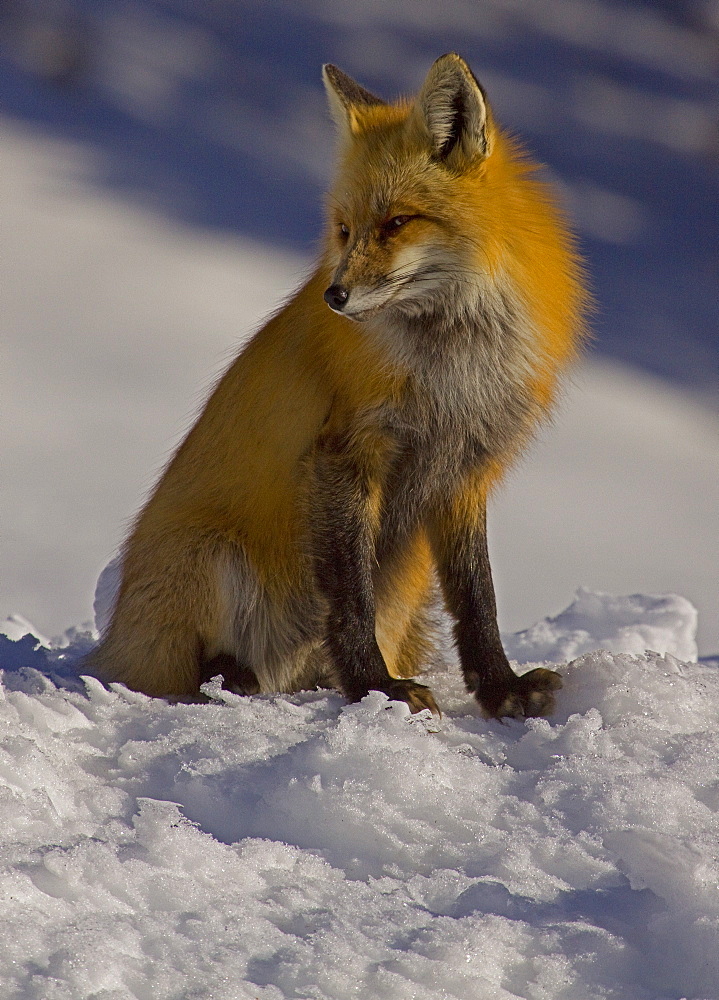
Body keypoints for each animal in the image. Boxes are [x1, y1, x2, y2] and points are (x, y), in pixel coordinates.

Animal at [87, 54, 588, 716]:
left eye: (397, 222)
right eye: (345, 230)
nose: (335, 296)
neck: (454, 368)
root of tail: (112, 643)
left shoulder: (464, 470)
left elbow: (479, 600)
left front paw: (501, 688)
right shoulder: (346, 453)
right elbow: (351, 599)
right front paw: (378, 689)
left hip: (405, 582)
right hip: (215, 559)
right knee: (195, 670)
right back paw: (232, 678)